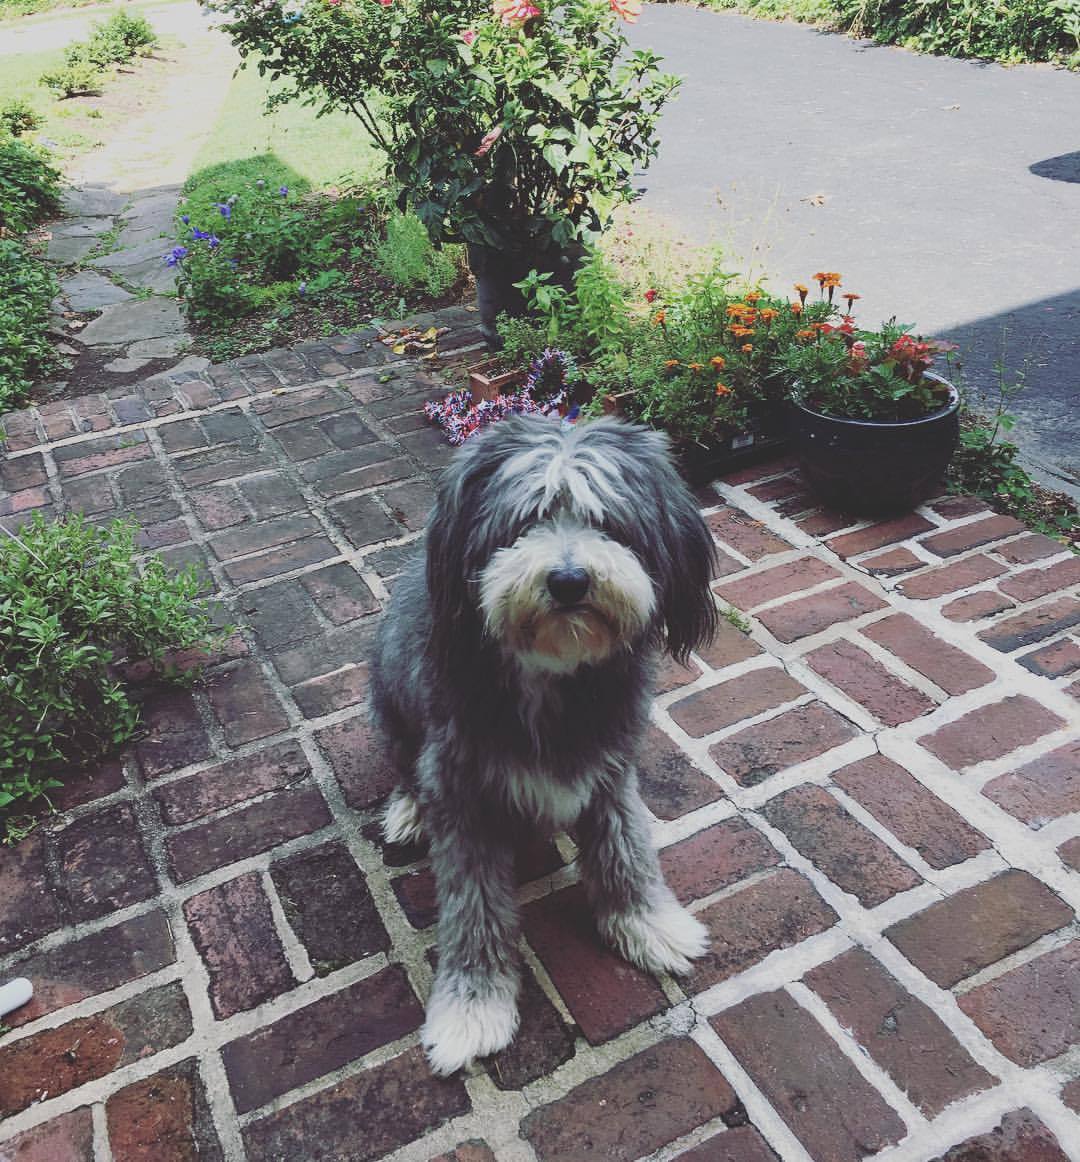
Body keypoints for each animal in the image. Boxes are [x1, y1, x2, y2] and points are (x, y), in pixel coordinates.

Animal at [369, 413, 716, 1073]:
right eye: (526, 519)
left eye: (608, 521)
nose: (570, 581)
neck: (552, 677)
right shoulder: (461, 792)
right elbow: (473, 909)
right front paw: (472, 1008)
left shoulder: (610, 769)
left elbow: (626, 849)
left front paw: (648, 923)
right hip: (388, 698)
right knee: (401, 764)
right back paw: (406, 810)